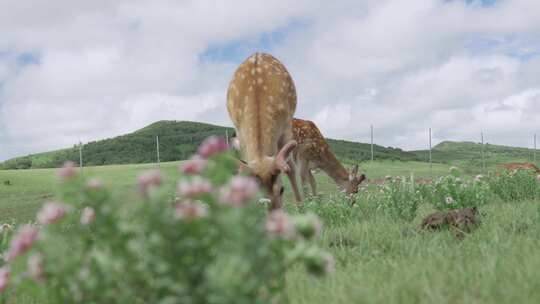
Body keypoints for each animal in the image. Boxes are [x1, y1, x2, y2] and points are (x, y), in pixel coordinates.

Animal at [227, 52, 304, 209]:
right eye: (251, 195)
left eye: (281, 189)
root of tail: (258, 52)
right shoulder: (240, 135)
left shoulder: (286, 126)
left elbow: (291, 168)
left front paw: (301, 208)